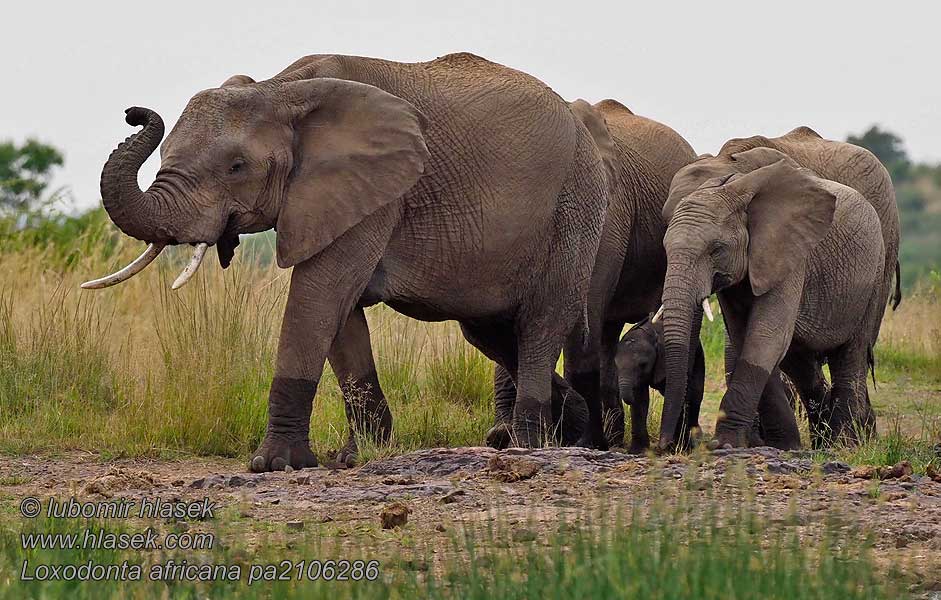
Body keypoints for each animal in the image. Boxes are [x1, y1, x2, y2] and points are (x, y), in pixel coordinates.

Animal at [81, 52, 612, 468]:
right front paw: (357, 457)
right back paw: (569, 426)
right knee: (493, 331)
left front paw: (274, 464)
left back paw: (530, 445)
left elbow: (318, 295)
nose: (133, 113)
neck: (279, 89)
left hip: (575, 206)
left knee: (540, 323)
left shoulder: (377, 191)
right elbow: (339, 311)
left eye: (236, 167)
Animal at [648, 138, 892, 450]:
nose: (664, 445)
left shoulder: (790, 252)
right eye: (665, 248)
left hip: (874, 278)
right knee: (801, 365)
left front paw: (726, 444)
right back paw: (822, 441)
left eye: (716, 249)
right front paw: (785, 445)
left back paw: (843, 445)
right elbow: (747, 339)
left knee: (851, 357)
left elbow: (766, 335)